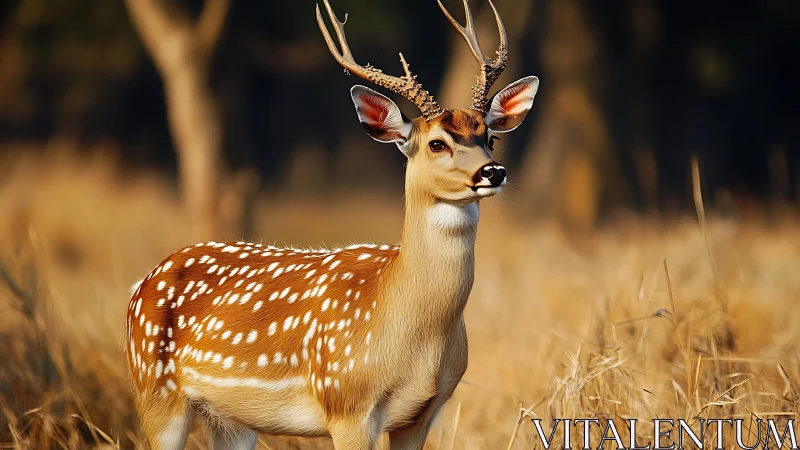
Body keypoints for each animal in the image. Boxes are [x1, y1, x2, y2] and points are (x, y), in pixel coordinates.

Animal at [125, 0, 539, 448]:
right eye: (436, 143)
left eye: (490, 138)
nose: (493, 171)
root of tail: (140, 285)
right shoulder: (346, 401)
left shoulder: (423, 414)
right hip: (154, 390)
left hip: (229, 420)